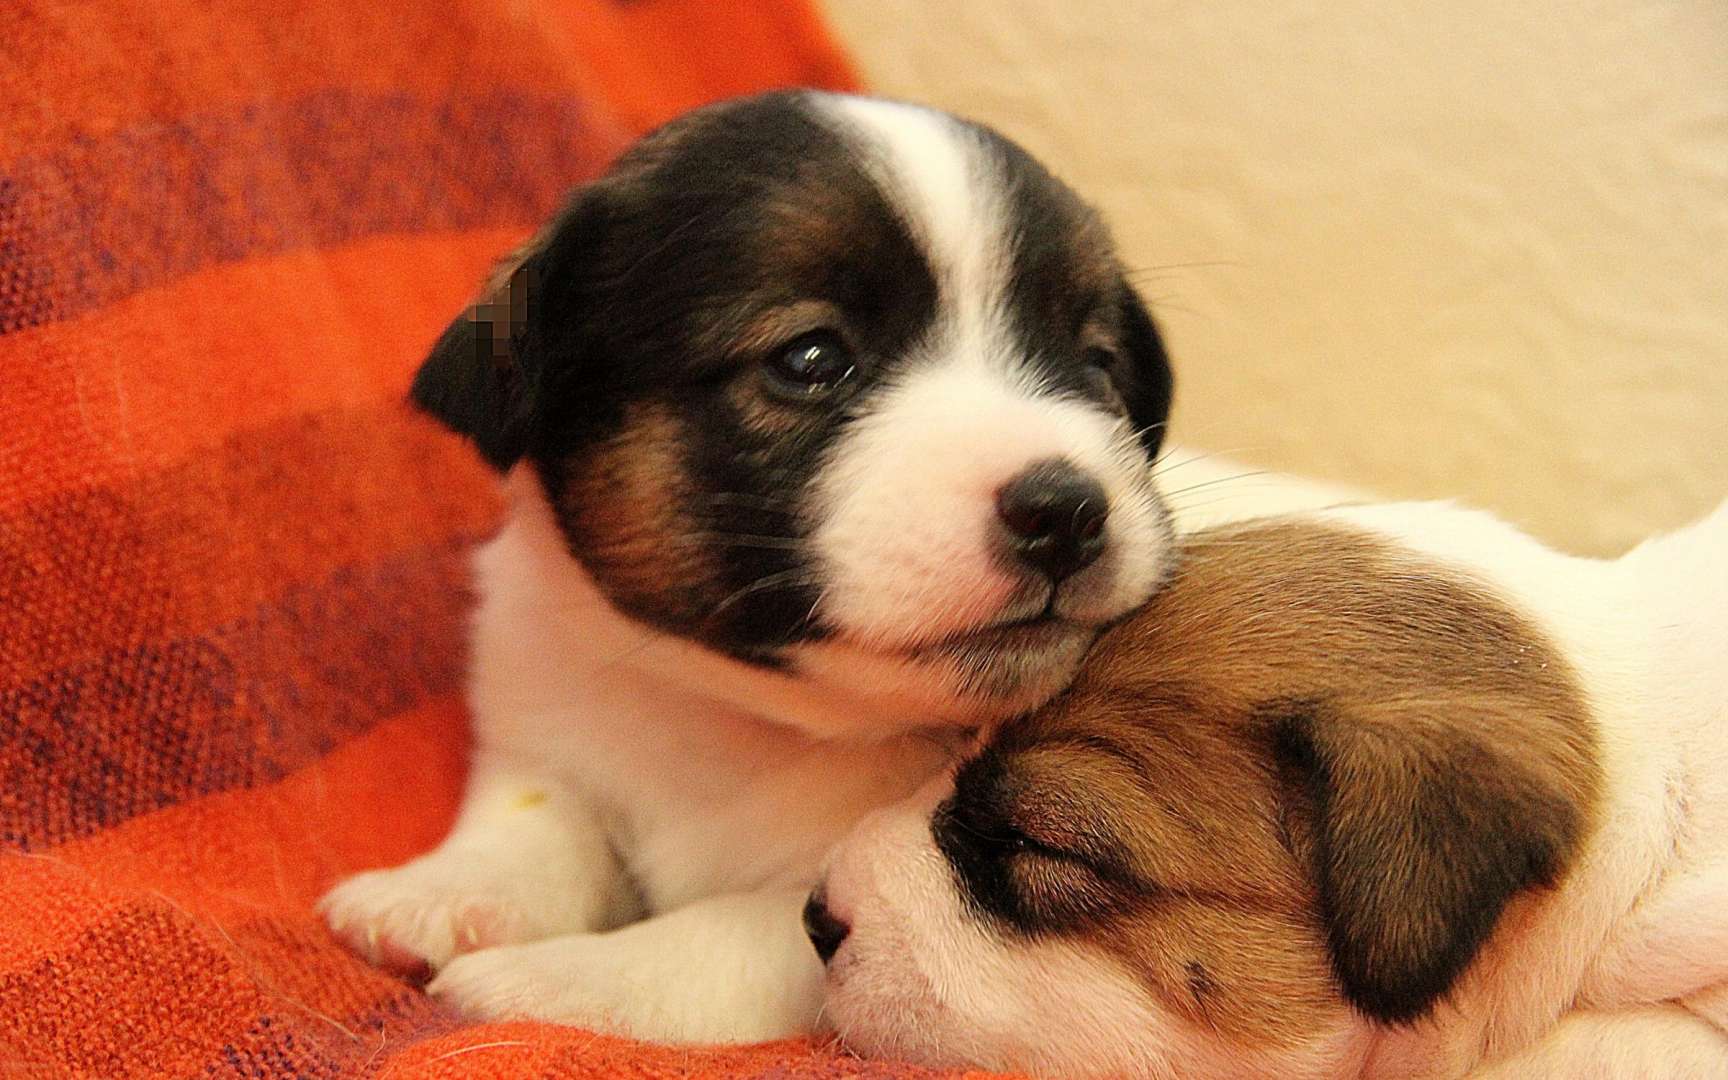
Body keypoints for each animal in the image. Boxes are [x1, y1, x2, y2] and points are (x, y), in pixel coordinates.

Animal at [314, 88, 1175, 1043]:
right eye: (811, 358)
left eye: (1096, 365)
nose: (1067, 511)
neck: (741, 717)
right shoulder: (543, 724)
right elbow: (538, 820)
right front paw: (445, 890)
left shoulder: (854, 920)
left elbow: (718, 939)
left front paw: (544, 977)